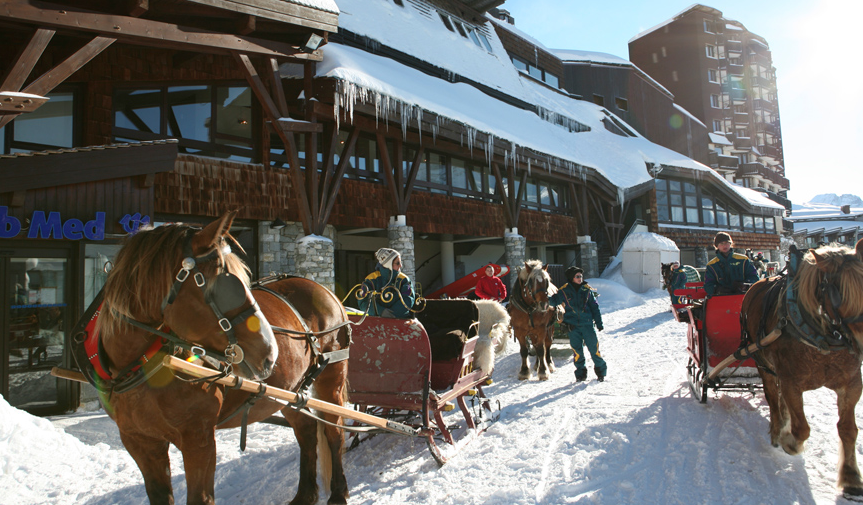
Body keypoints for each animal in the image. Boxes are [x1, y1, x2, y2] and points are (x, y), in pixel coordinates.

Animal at [88, 210, 352, 504]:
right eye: (219, 285)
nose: (270, 352)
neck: (141, 363)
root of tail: (325, 290)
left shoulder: (199, 438)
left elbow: (201, 497)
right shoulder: (139, 441)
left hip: (331, 378)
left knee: (334, 431)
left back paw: (338, 492)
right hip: (290, 390)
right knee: (306, 431)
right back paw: (305, 494)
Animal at [740, 238, 863, 498]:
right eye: (839, 293)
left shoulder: (851, 383)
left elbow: (848, 429)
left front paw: (851, 478)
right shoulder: (791, 382)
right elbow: (802, 429)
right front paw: (789, 441)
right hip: (762, 363)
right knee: (772, 398)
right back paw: (777, 429)